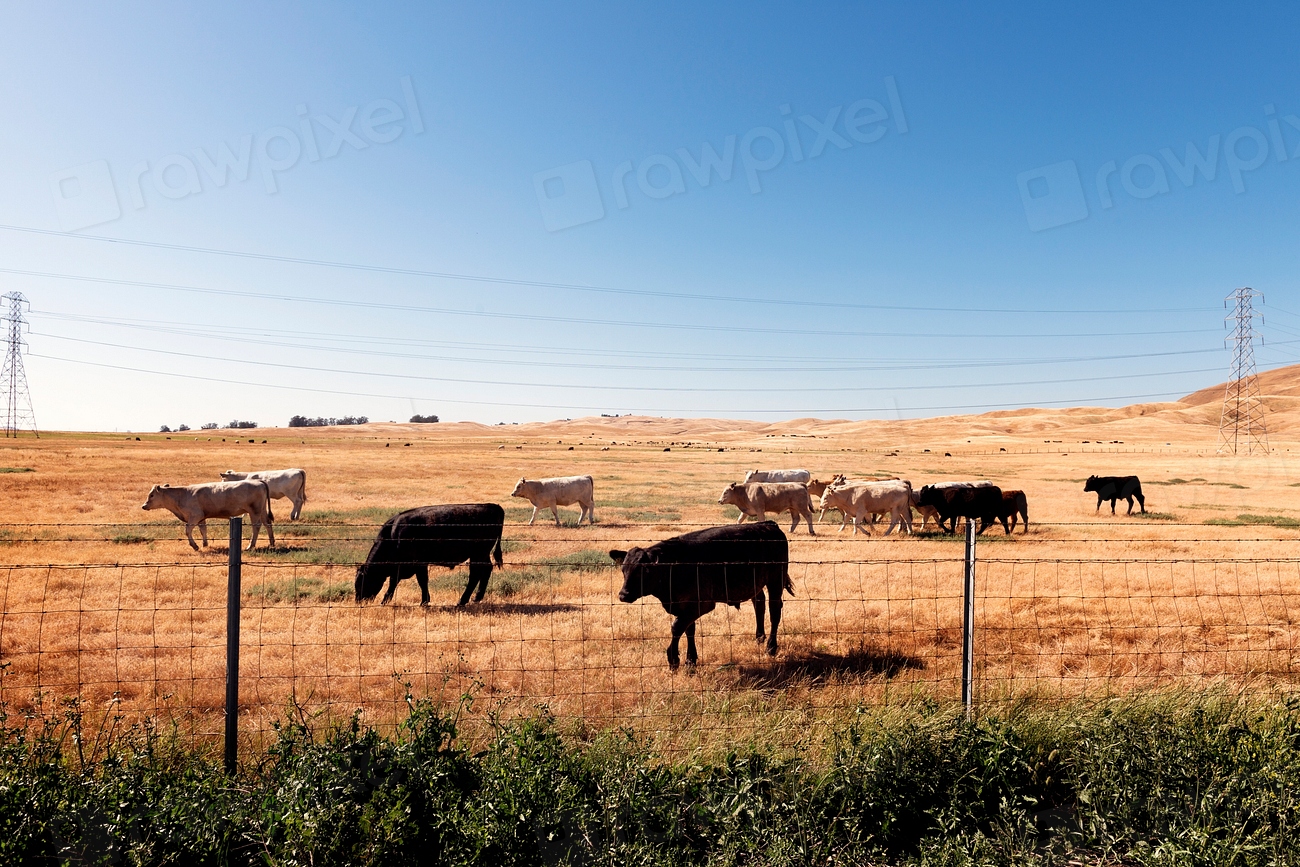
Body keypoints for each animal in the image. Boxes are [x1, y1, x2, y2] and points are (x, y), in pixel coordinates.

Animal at [141, 480, 274, 548]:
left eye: (151, 495)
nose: (144, 506)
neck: (183, 495)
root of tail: (258, 481)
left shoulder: (195, 516)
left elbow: (187, 530)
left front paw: (194, 545)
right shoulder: (201, 518)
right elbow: (203, 530)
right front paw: (205, 544)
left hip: (254, 511)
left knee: (256, 526)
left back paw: (251, 546)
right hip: (262, 510)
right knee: (267, 524)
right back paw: (272, 543)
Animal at [356, 504, 506, 608]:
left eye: (361, 582)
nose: (358, 601)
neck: (393, 535)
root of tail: (493, 506)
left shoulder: (418, 563)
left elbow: (421, 581)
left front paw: (424, 601)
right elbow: (395, 582)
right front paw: (386, 600)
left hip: (478, 554)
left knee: (475, 574)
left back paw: (462, 601)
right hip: (482, 554)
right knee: (487, 569)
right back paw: (477, 597)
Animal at [608, 519, 790, 670]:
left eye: (643, 572)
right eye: (623, 569)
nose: (623, 595)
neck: (675, 566)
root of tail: (769, 524)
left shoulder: (702, 604)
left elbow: (677, 627)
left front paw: (674, 659)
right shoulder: (685, 606)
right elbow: (689, 629)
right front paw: (690, 660)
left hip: (776, 580)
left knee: (774, 610)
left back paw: (771, 647)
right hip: (755, 584)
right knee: (759, 604)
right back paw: (759, 637)